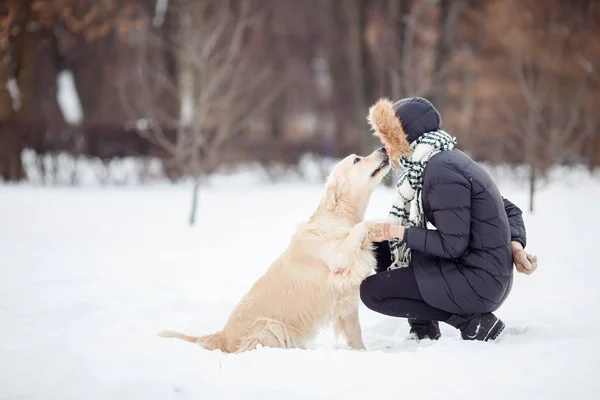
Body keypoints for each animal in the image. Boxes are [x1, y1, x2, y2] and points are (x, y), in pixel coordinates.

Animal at [159, 148, 392, 354]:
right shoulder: (339, 262)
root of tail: (223, 336)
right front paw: (376, 223)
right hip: (270, 326)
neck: (338, 216)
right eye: (356, 160)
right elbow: (360, 228)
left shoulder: (347, 299)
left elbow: (356, 334)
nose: (383, 148)